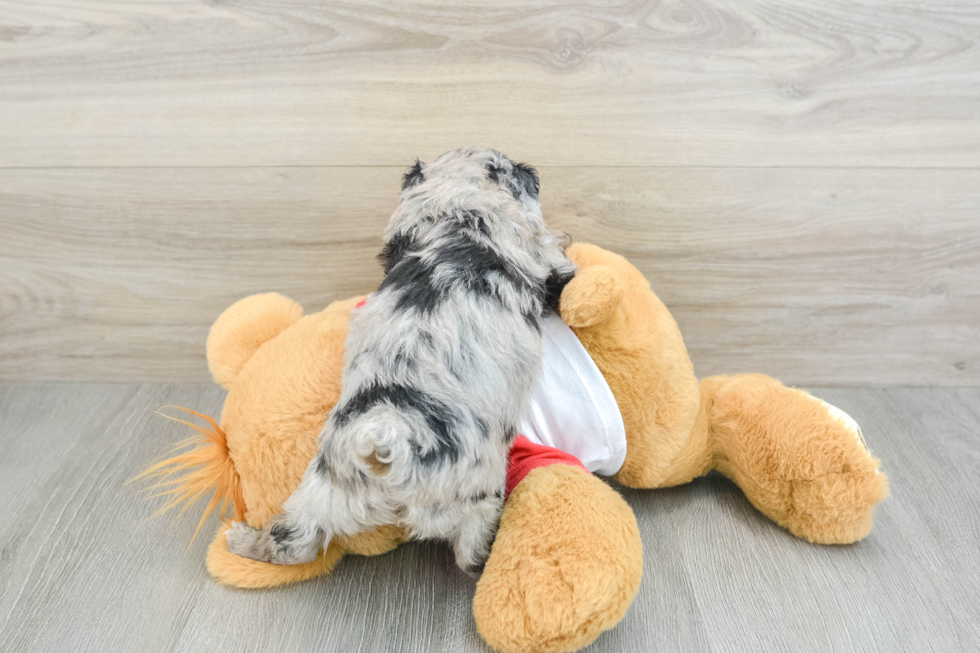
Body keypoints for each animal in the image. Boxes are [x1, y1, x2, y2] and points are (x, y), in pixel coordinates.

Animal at [226, 146, 580, 572]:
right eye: (508, 166)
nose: (532, 170)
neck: (455, 213)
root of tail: (391, 445)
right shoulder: (536, 248)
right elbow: (556, 254)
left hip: (321, 490)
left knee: (295, 542)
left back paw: (242, 539)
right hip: (477, 495)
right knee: (470, 552)